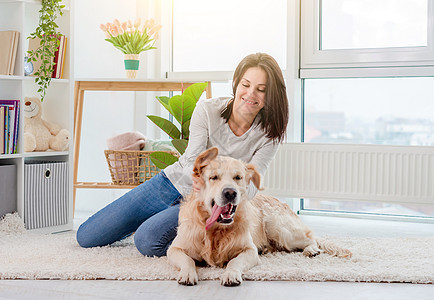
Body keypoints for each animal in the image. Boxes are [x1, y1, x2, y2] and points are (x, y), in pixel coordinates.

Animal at [167, 147, 352, 286]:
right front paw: (188, 273)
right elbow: (188, 260)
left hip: (279, 228)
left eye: (238, 177)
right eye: (213, 177)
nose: (230, 192)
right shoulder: (174, 249)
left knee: (310, 238)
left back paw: (311, 250)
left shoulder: (249, 250)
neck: (217, 230)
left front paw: (231, 274)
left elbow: (235, 261)